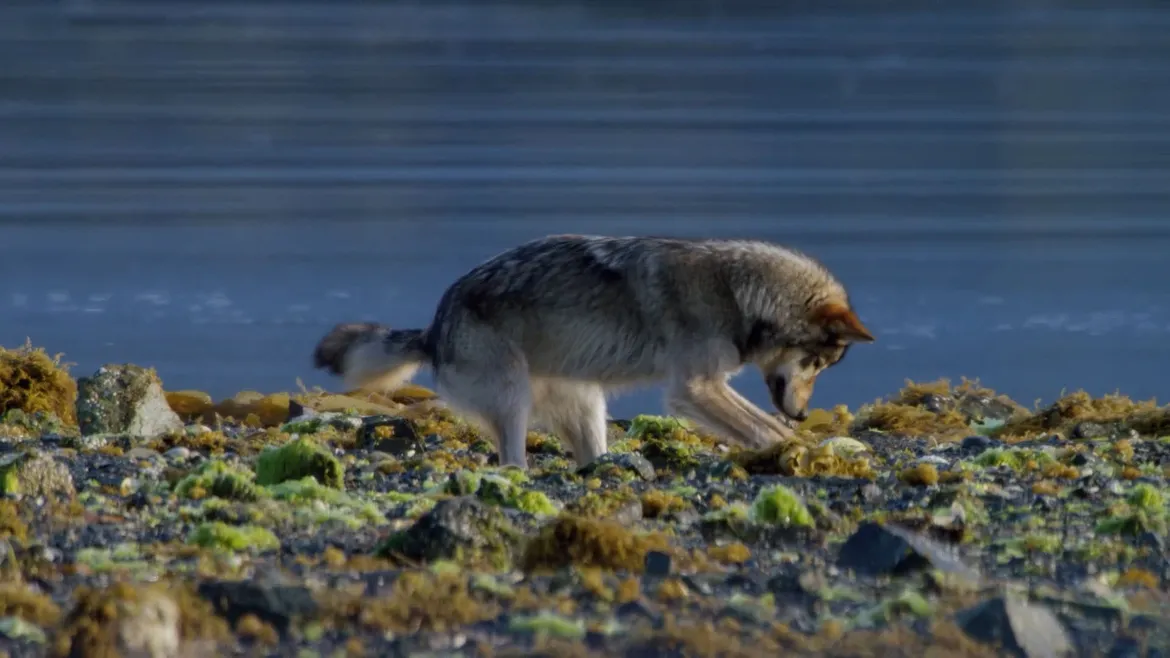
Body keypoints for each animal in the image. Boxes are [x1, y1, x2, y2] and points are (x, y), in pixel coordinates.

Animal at [312, 234, 875, 469]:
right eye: (818, 363)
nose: (802, 413)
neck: (741, 295)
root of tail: (433, 326)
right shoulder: (693, 389)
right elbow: (763, 428)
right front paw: (797, 447)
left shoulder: (704, 388)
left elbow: (763, 424)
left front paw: (801, 442)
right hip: (514, 401)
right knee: (511, 460)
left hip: (588, 408)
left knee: (587, 456)